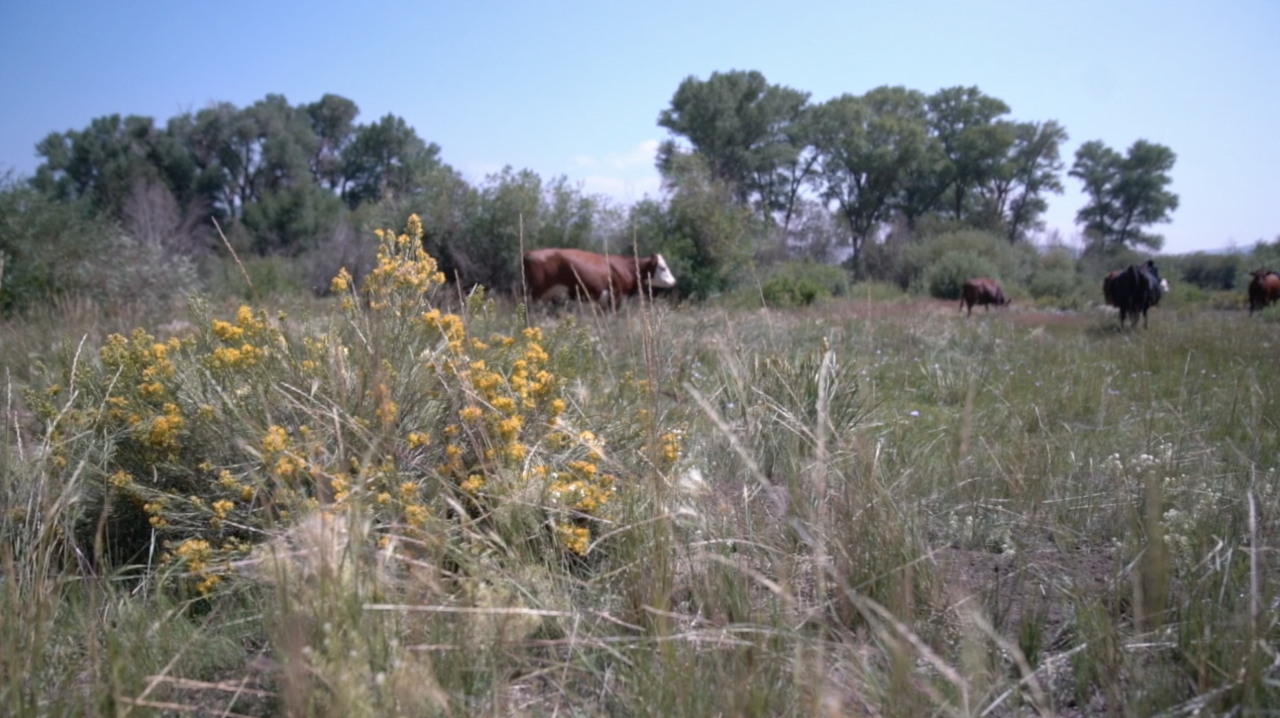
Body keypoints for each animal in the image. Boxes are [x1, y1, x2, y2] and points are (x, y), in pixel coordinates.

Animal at [522, 248, 676, 309]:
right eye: (663, 268)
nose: (673, 281)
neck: (625, 267)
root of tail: (529, 253)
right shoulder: (615, 298)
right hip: (534, 294)